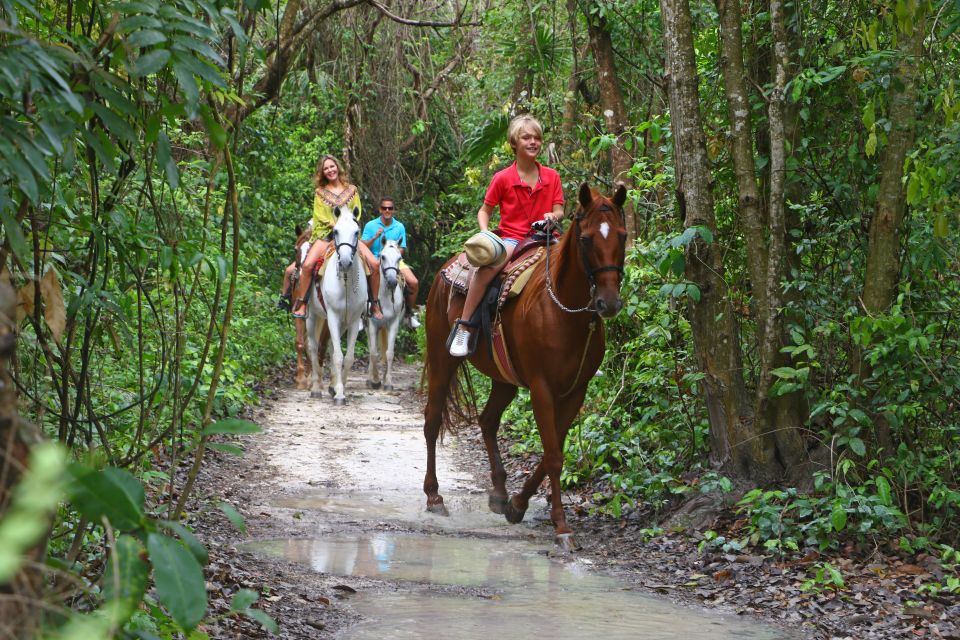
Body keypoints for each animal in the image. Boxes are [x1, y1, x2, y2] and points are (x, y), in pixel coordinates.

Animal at [308, 205, 368, 404]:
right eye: (335, 231)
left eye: (356, 231)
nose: (345, 262)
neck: (346, 282)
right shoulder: (333, 316)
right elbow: (337, 356)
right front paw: (340, 393)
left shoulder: (354, 320)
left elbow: (348, 357)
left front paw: (339, 388)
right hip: (312, 315)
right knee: (313, 347)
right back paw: (316, 388)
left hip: (341, 323)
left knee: (328, 346)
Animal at [364, 240, 402, 390]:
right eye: (383, 257)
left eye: (399, 258)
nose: (392, 282)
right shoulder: (372, 324)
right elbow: (373, 353)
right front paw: (375, 380)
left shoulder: (394, 323)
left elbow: (389, 353)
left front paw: (388, 382)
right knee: (371, 350)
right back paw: (370, 378)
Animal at [424, 181, 628, 552]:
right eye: (586, 239)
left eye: (622, 235)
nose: (608, 303)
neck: (563, 309)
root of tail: (448, 268)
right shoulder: (541, 387)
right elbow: (554, 456)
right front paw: (561, 526)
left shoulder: (576, 391)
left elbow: (552, 452)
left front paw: (517, 505)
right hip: (441, 358)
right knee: (433, 421)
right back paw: (434, 497)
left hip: (504, 379)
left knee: (488, 420)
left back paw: (499, 494)